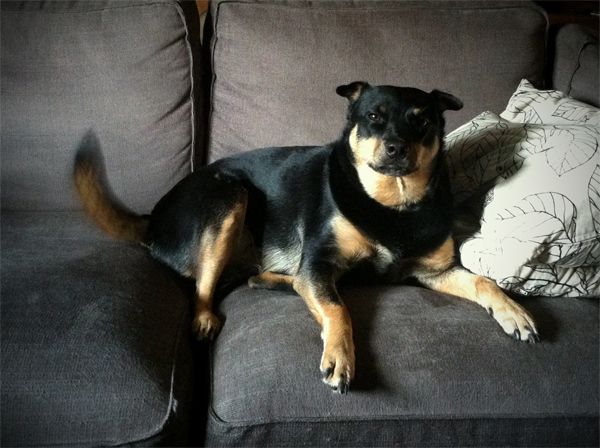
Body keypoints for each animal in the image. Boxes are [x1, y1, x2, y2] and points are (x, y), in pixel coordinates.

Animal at [75, 82, 540, 394]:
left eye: (422, 121)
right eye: (374, 117)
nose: (396, 148)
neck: (392, 203)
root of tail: (152, 217)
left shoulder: (436, 271)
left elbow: (483, 281)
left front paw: (514, 313)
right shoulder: (320, 262)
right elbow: (337, 308)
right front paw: (340, 356)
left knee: (255, 275)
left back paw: (269, 280)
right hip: (228, 196)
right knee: (209, 283)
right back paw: (207, 316)